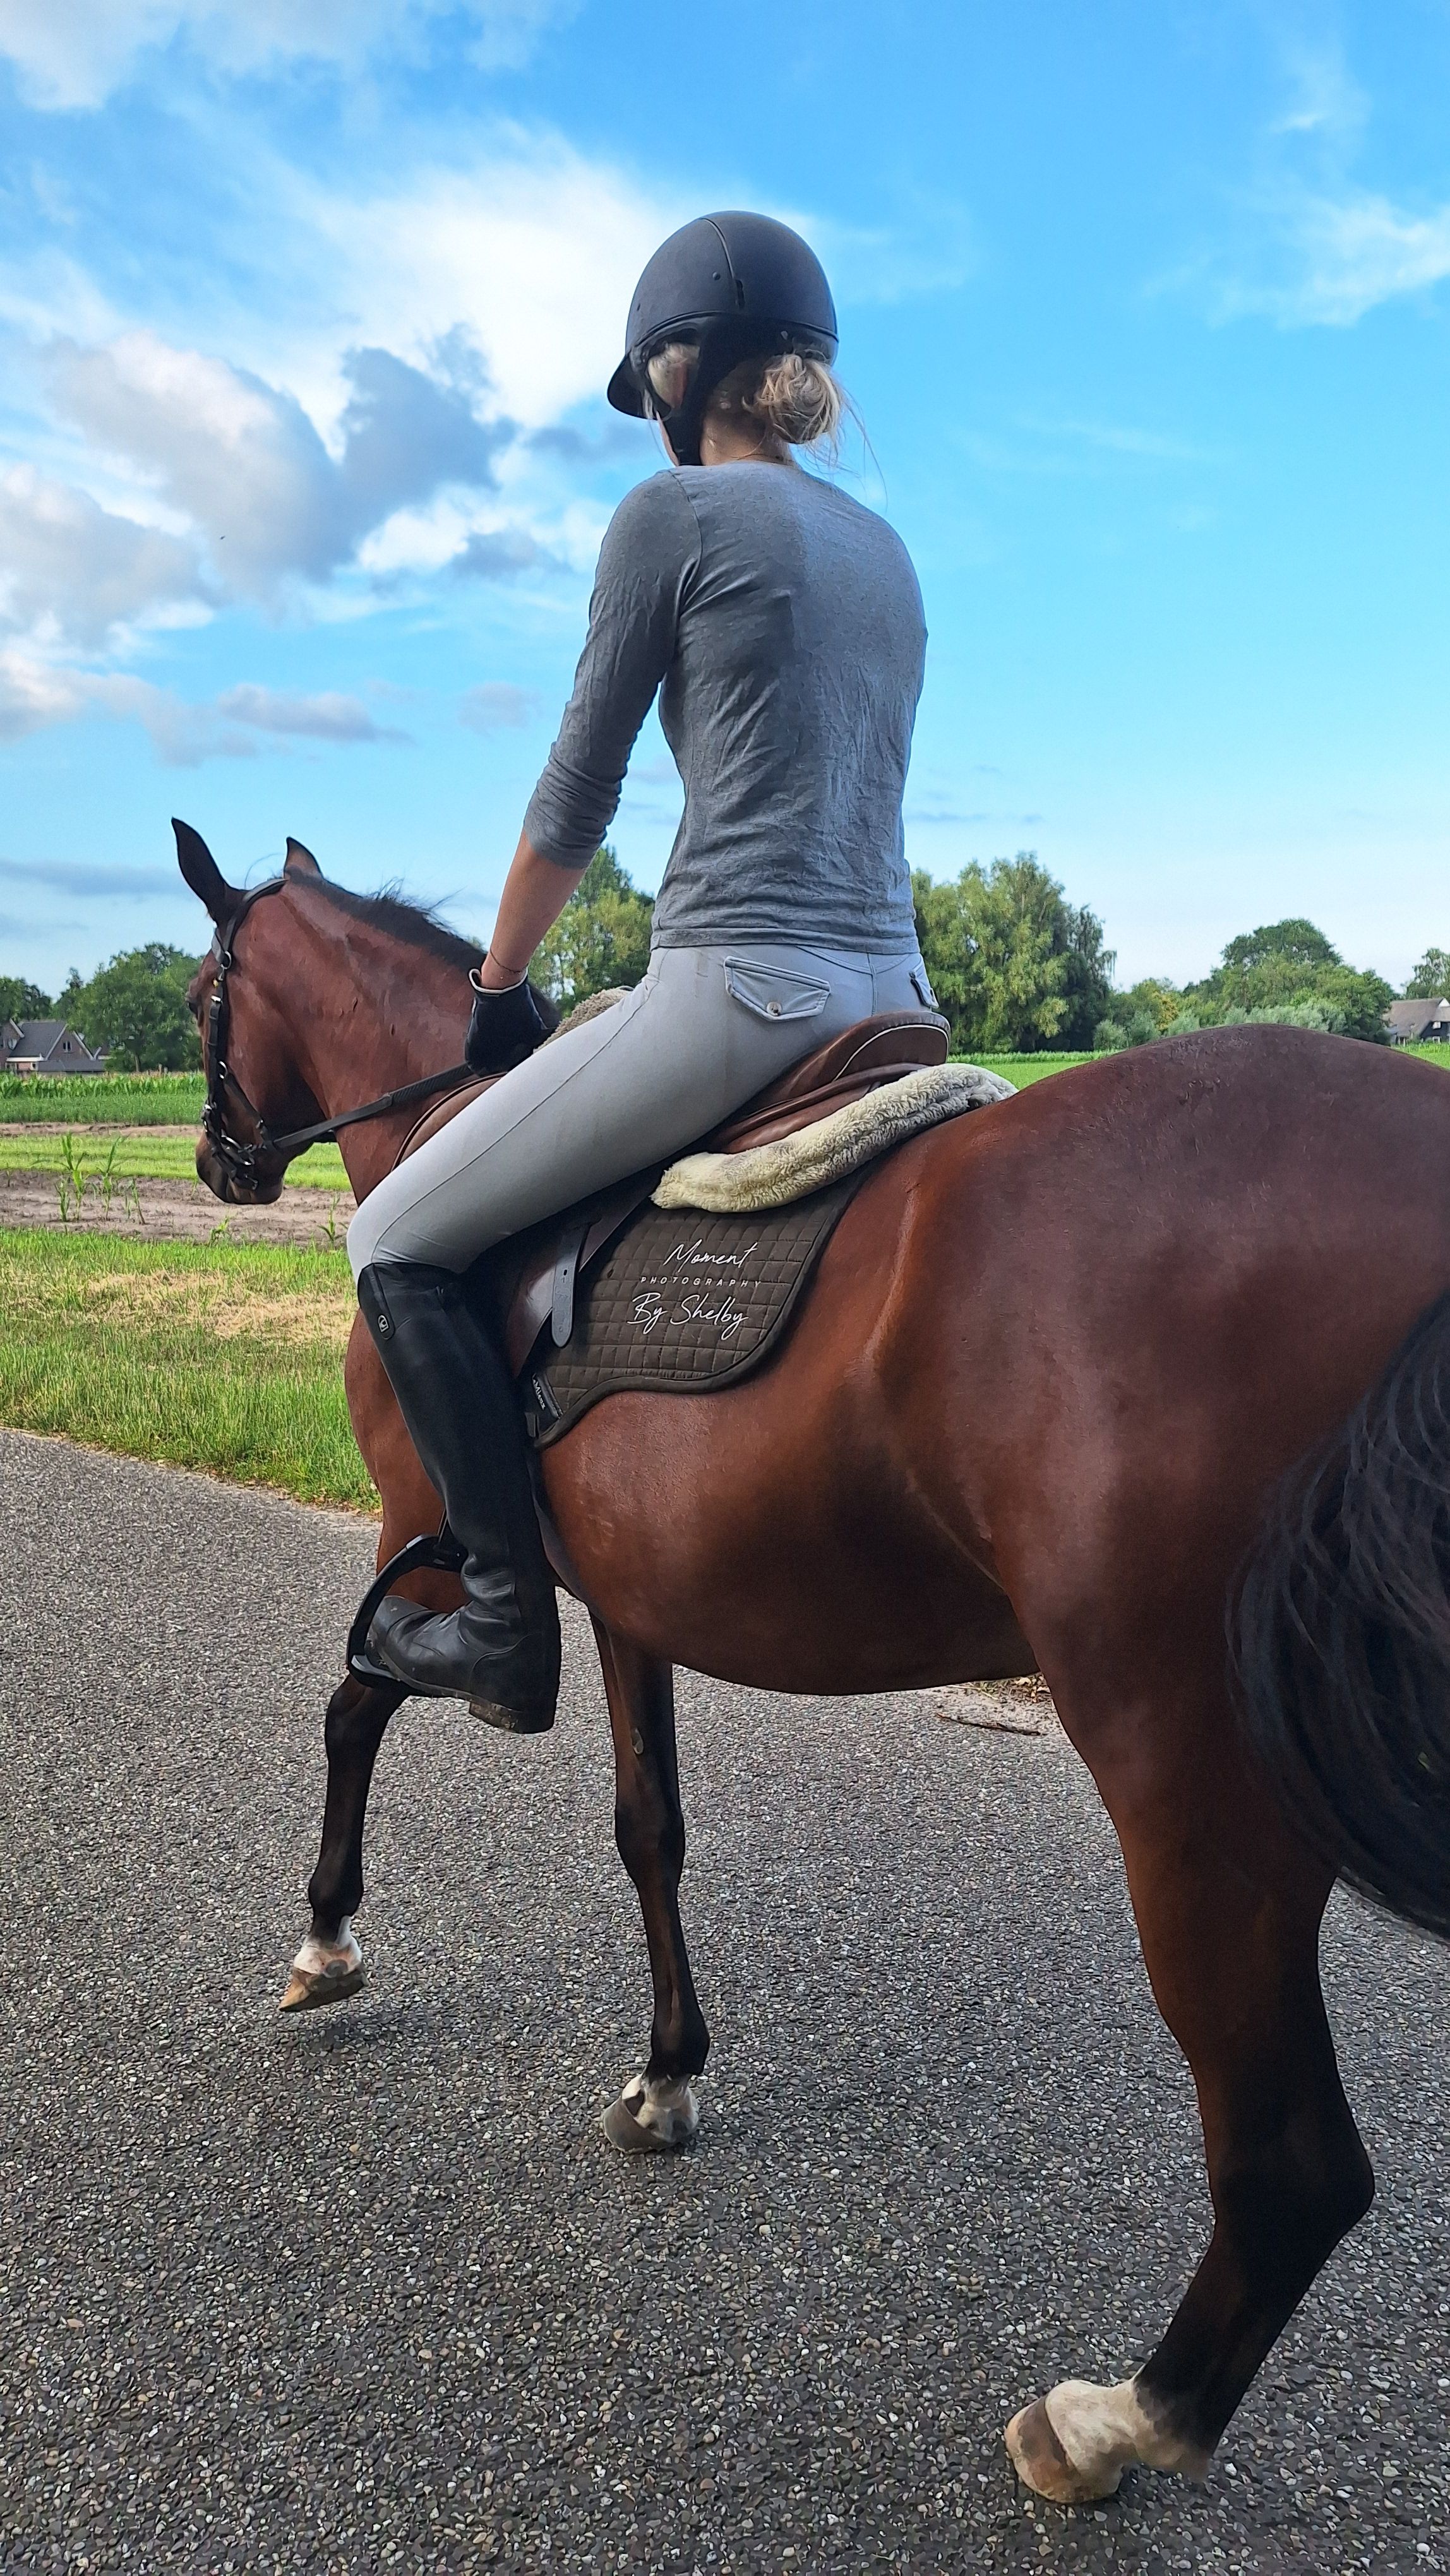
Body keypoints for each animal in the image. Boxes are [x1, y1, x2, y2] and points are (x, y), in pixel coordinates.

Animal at [175, 816, 1450, 2509]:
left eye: (206, 995)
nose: (218, 1163)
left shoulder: (430, 1545)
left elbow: (349, 1709)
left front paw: (326, 1938)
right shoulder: (627, 1602)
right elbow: (649, 1828)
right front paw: (667, 2074)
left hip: (1192, 1783)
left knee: (1291, 2163)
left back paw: (1116, 2419)